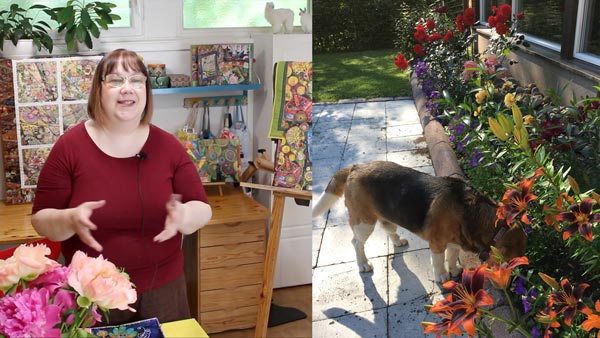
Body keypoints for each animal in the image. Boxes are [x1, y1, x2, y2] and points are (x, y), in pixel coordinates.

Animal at [312, 161, 528, 282]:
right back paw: (363, 264)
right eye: (513, 260)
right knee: (356, 243)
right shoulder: (438, 244)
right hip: (364, 223)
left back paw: (398, 241)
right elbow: (440, 261)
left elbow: (452, 256)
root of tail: (355, 167)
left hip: (388, 216)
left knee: (388, 228)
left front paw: (455, 270)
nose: (523, 274)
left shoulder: (455, 241)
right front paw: (442, 276)